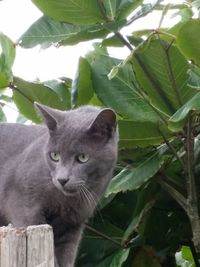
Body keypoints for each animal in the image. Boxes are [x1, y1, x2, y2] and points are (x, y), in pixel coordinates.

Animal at [0, 104, 117, 267]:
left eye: (83, 158)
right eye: (54, 155)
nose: (62, 179)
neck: (65, 201)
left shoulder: (73, 224)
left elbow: (66, 255)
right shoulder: (24, 205)